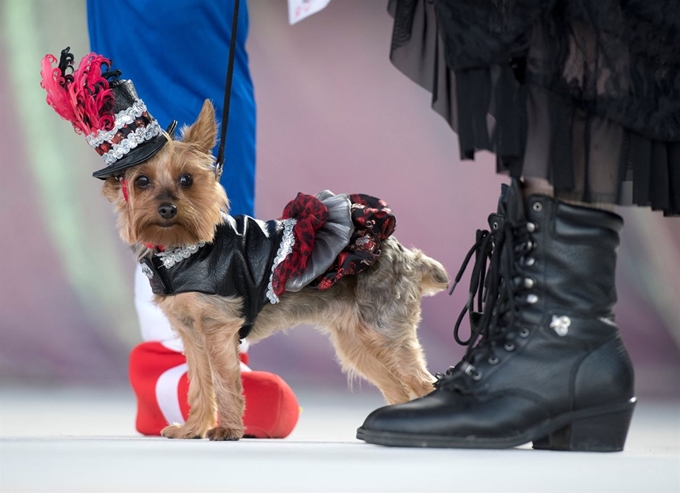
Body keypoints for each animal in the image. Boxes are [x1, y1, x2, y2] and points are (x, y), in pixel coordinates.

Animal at [101, 99, 448, 438]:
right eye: (141, 181)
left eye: (187, 179)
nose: (167, 209)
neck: (185, 250)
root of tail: (406, 256)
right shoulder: (192, 333)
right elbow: (198, 382)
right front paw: (193, 428)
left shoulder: (218, 327)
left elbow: (224, 381)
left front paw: (227, 429)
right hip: (357, 341)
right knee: (399, 388)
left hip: (381, 331)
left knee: (422, 382)